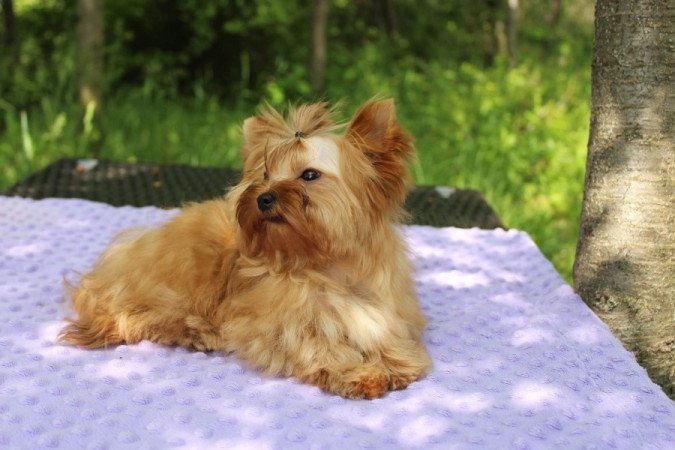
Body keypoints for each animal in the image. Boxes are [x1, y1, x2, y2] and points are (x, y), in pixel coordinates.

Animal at [62, 100, 434, 400]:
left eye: (309, 175)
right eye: (265, 174)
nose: (263, 197)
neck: (323, 264)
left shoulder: (385, 307)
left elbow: (385, 335)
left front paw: (399, 361)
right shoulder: (275, 327)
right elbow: (319, 345)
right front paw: (359, 372)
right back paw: (200, 332)